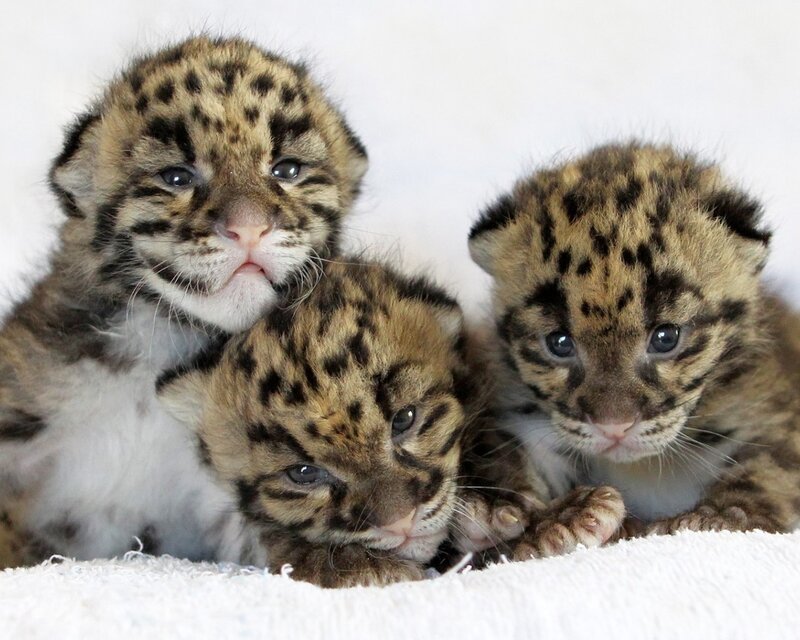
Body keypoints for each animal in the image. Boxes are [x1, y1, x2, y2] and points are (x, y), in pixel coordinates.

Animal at [468, 141, 800, 547]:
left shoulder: (770, 407)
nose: (614, 427)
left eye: (666, 337)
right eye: (559, 343)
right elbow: (512, 455)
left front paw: (720, 515)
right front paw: (543, 516)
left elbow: (770, 465)